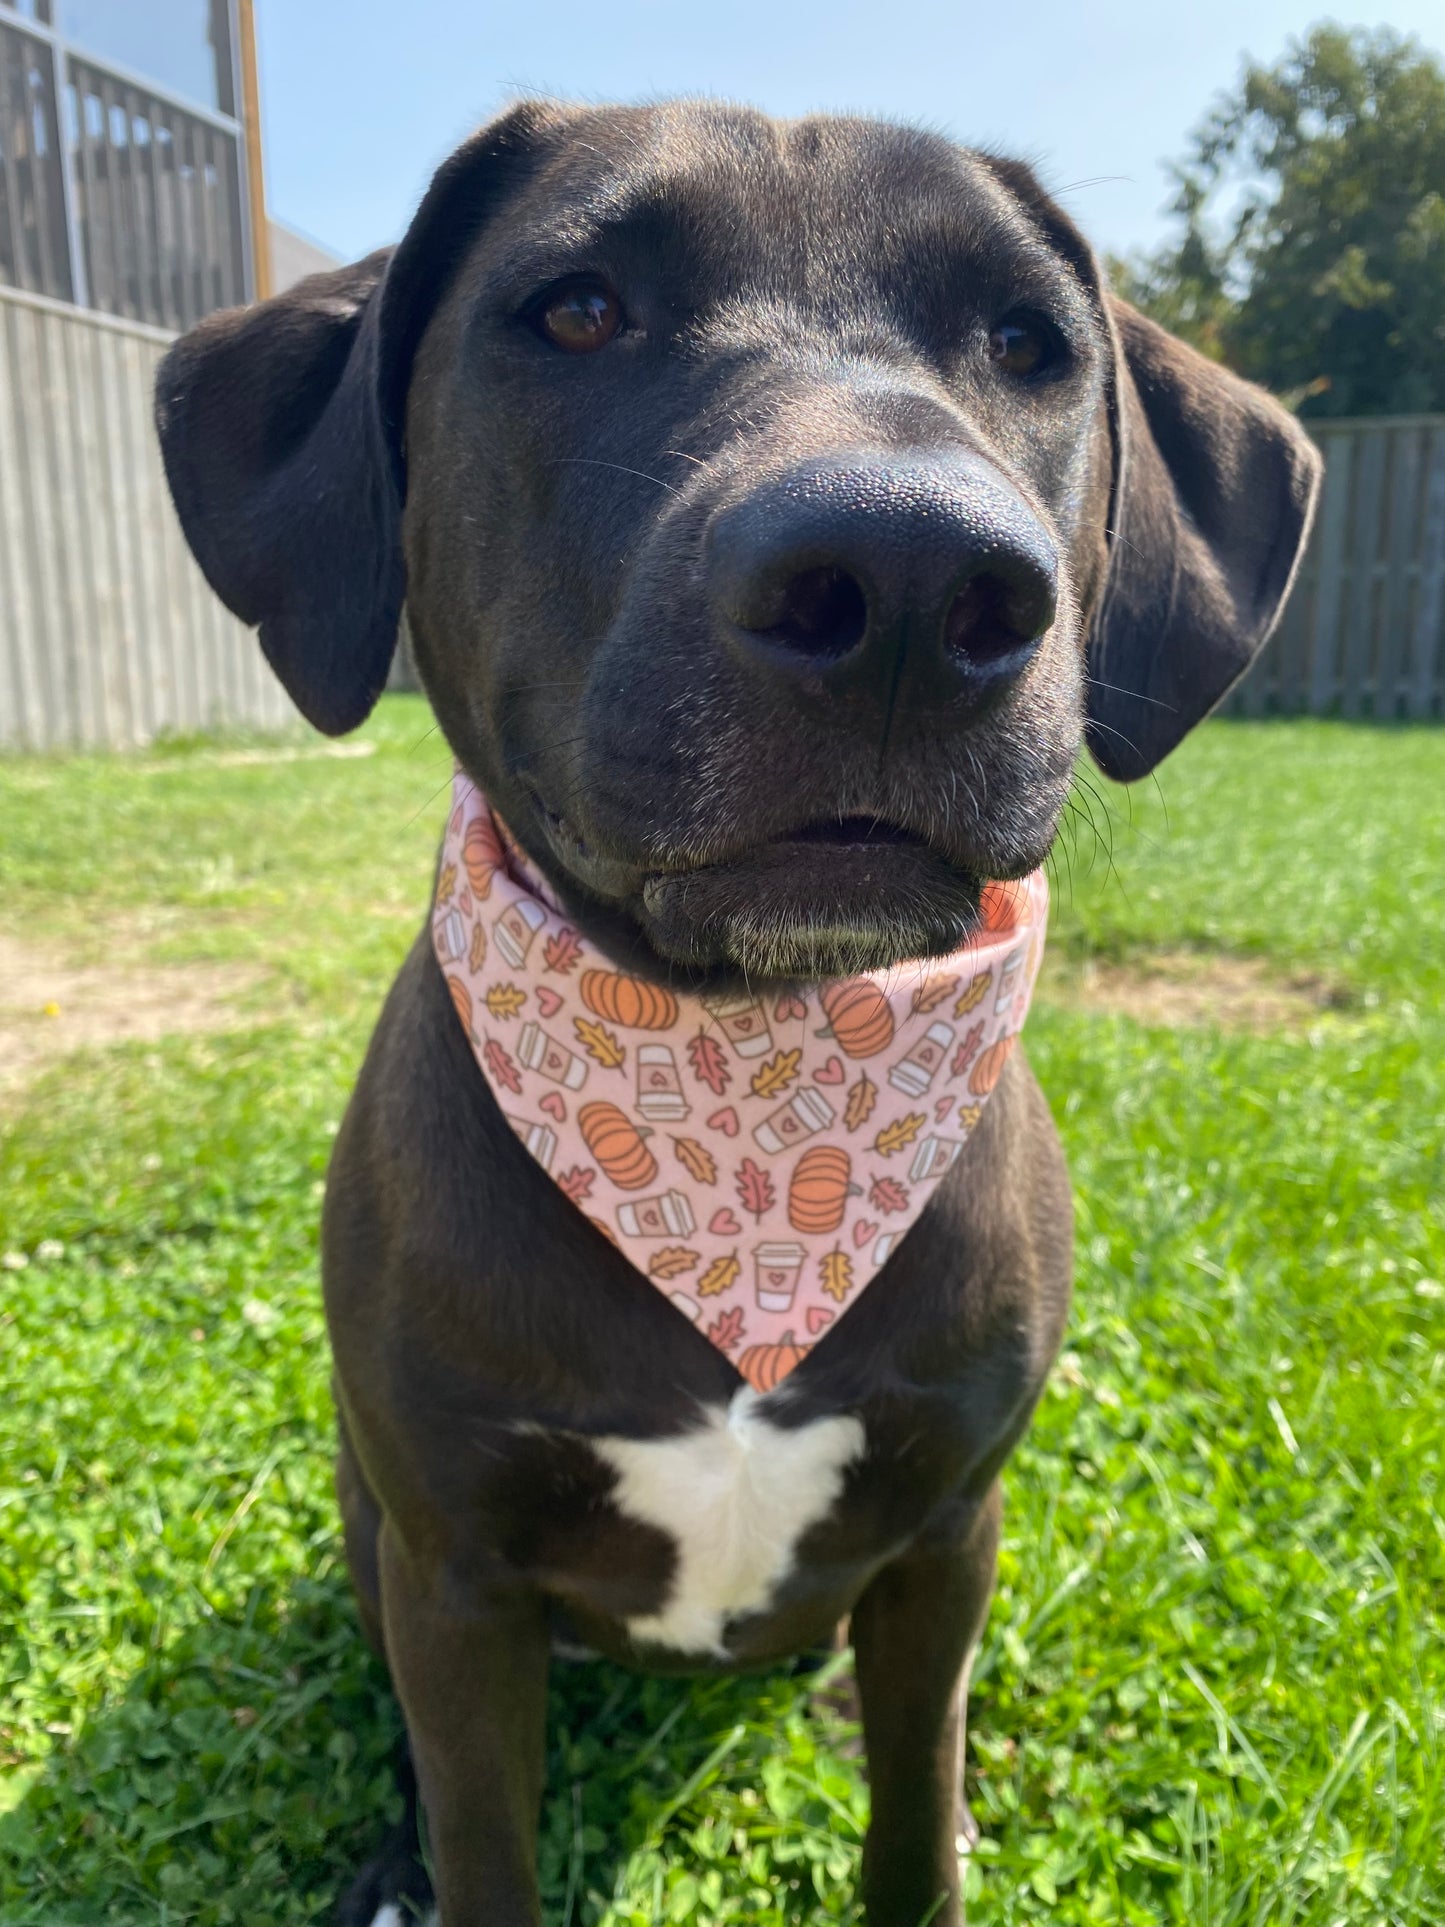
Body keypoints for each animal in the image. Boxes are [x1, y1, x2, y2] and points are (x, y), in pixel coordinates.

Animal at [157, 101, 1325, 1927]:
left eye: (1026, 343)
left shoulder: (952, 1521)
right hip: (367, 1519)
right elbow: (483, 1833)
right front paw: (437, 1856)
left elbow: (912, 1813)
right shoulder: (453, 1570)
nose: (912, 576)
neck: (755, 1101)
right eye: (575, 310)